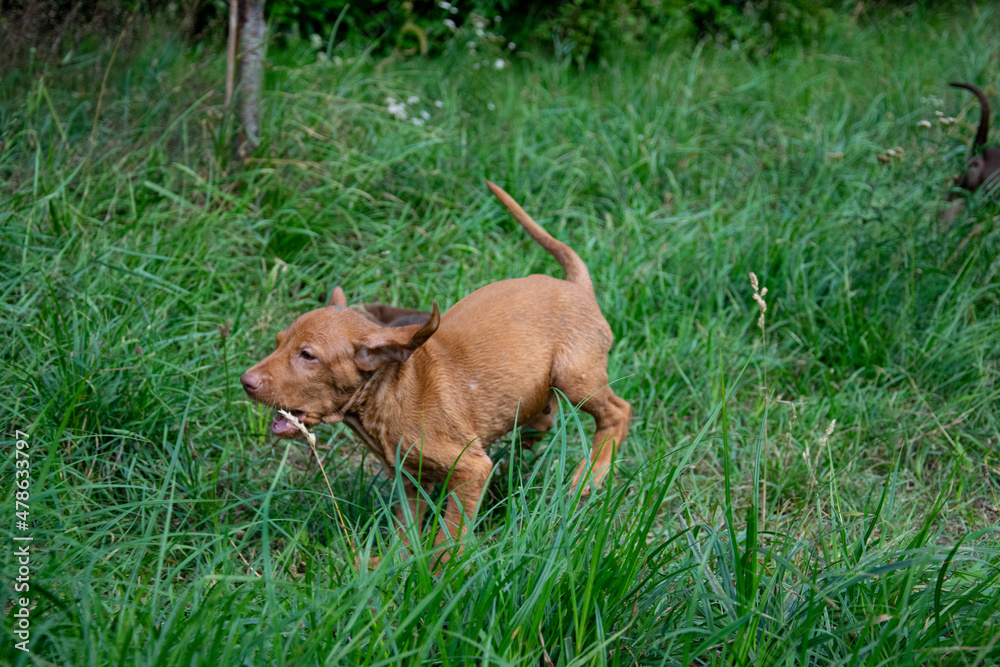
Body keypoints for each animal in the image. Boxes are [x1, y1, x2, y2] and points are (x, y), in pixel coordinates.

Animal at [242, 181, 628, 552]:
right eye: (278, 342)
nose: (246, 381)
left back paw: (589, 476)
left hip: (575, 375)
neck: (391, 391)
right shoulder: (411, 480)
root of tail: (577, 286)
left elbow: (451, 535)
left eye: (308, 356)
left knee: (617, 412)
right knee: (545, 417)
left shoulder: (471, 468)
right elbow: (405, 532)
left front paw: (443, 567)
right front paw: (390, 565)